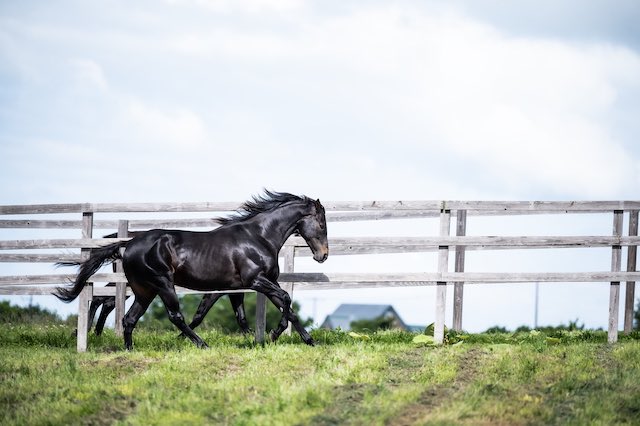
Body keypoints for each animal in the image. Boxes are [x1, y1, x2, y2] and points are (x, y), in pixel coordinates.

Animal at [55, 191, 328, 348]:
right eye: (322, 224)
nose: (322, 255)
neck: (258, 237)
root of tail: (128, 244)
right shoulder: (256, 281)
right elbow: (285, 300)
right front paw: (274, 335)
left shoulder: (243, 286)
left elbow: (278, 308)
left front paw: (297, 340)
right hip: (162, 283)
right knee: (173, 315)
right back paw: (202, 344)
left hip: (144, 290)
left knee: (128, 316)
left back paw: (128, 350)